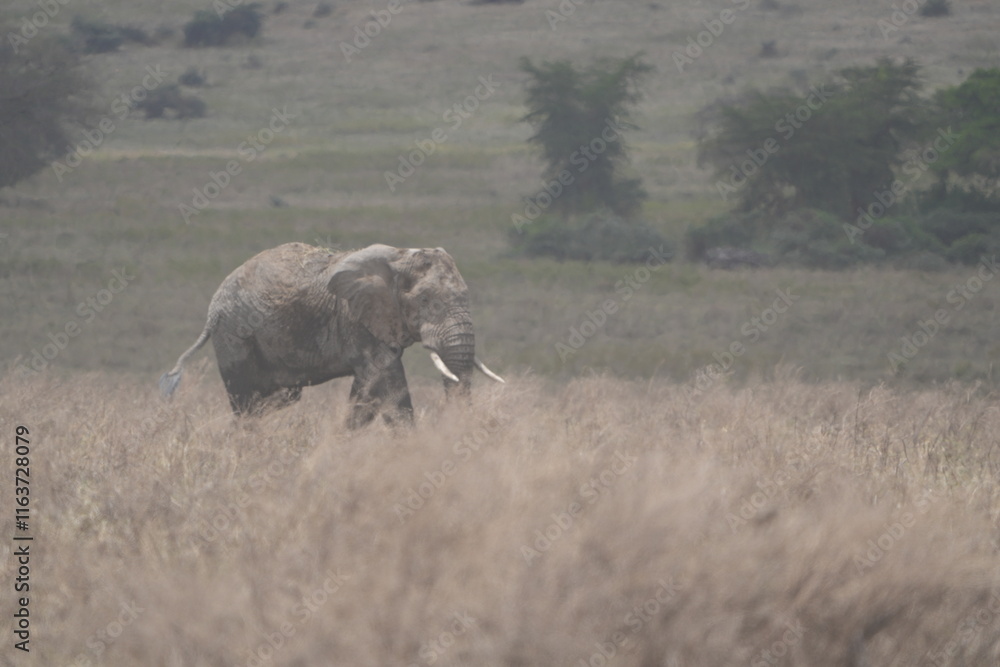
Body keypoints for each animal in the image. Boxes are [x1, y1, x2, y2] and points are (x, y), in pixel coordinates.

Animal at [159, 242, 504, 428]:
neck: (401, 255)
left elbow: (367, 393)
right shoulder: (357, 320)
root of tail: (213, 308)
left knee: (278, 397)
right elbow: (388, 384)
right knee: (246, 402)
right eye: (426, 302)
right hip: (234, 334)